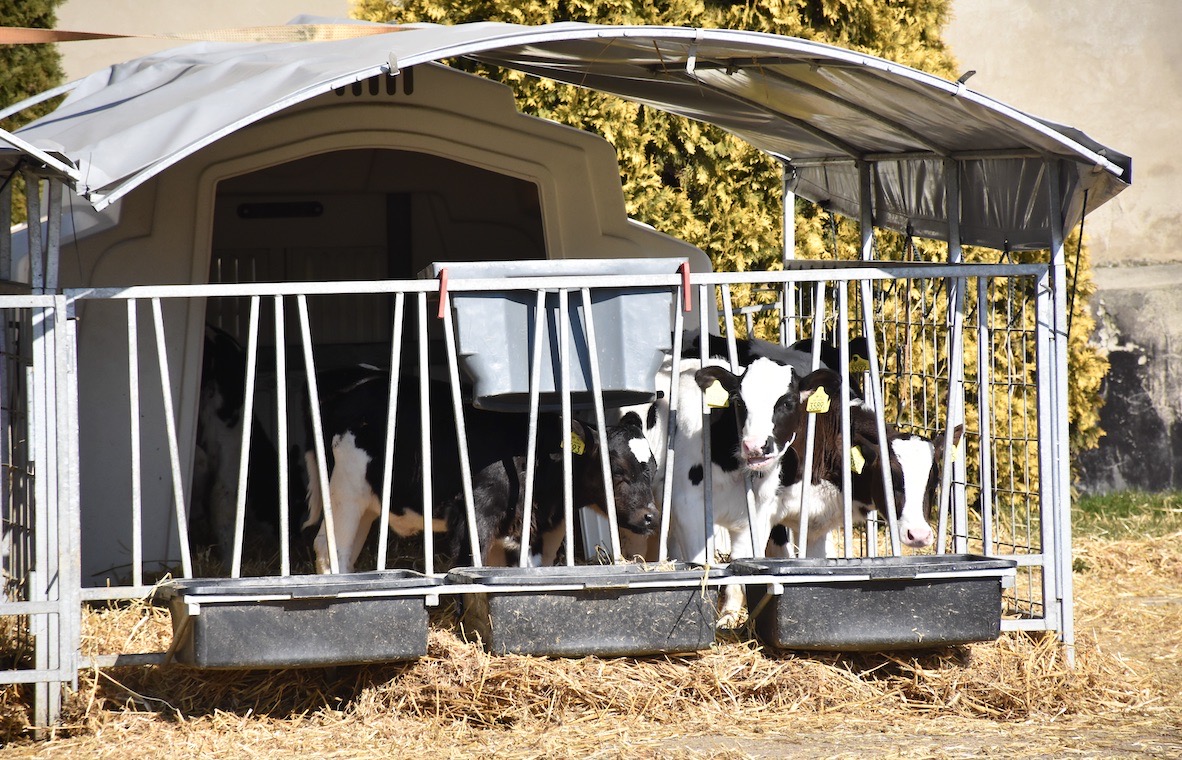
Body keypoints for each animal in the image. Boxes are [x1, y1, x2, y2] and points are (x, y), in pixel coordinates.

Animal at [300, 371, 661, 576]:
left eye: (653, 468)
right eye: (616, 469)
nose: (650, 516)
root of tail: (342, 395)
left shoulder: (535, 528)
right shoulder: (474, 512)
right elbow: (470, 562)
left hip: (366, 502)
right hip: (345, 493)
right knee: (330, 550)